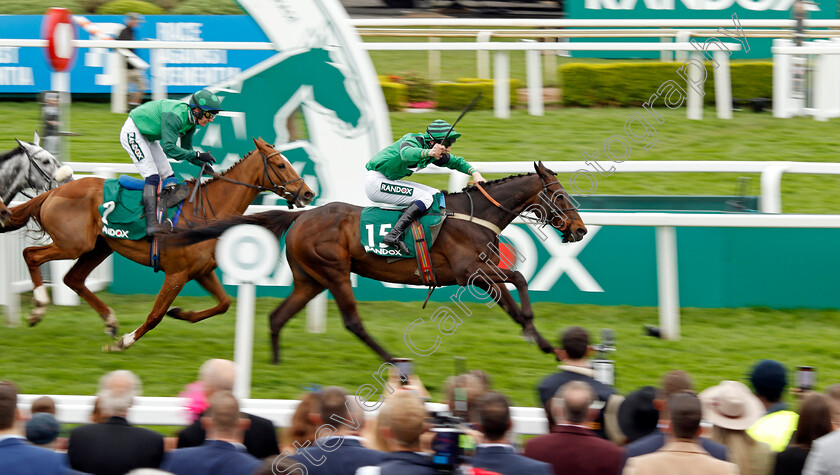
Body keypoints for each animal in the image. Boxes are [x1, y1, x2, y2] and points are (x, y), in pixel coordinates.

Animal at [2, 138, 316, 350]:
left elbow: (224, 304)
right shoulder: (176, 273)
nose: (308, 193)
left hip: (99, 246)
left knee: (73, 278)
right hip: (73, 243)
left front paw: (181, 313)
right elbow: (155, 314)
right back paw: (39, 308)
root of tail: (54, 191)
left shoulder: (201, 271)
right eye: (280, 164)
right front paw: (126, 341)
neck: (206, 211)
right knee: (31, 255)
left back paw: (109, 321)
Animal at [162, 163, 584, 364]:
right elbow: (519, 282)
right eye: (561, 197)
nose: (579, 230)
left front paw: (543, 343)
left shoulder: (482, 275)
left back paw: (276, 366)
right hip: (334, 271)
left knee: (277, 317)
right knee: (353, 322)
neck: (474, 215)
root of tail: (303, 215)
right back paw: (395, 362)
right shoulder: (471, 275)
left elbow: (515, 293)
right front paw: (534, 328)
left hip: (310, 279)